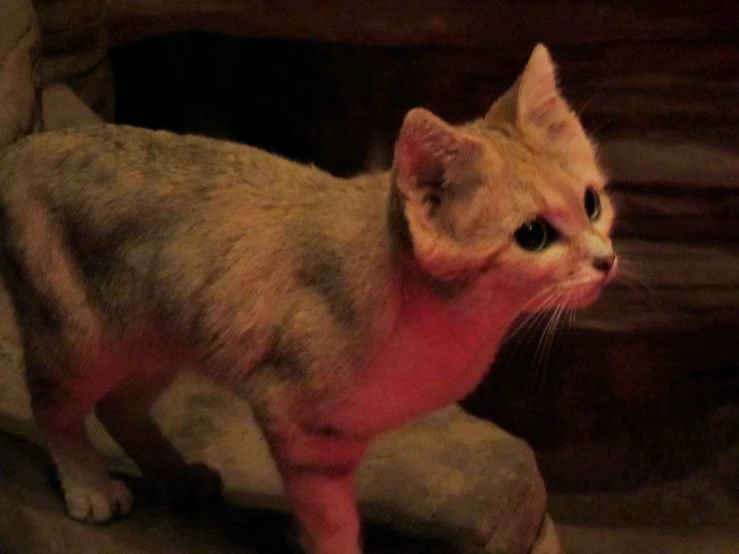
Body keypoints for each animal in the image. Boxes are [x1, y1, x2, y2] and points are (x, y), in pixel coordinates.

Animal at [0, 44, 616, 552]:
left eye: (591, 204)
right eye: (533, 235)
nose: (605, 261)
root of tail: (23, 147)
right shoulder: (298, 426)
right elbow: (330, 522)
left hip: (160, 340)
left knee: (117, 405)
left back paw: (175, 477)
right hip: (78, 340)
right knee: (55, 406)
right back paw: (89, 485)